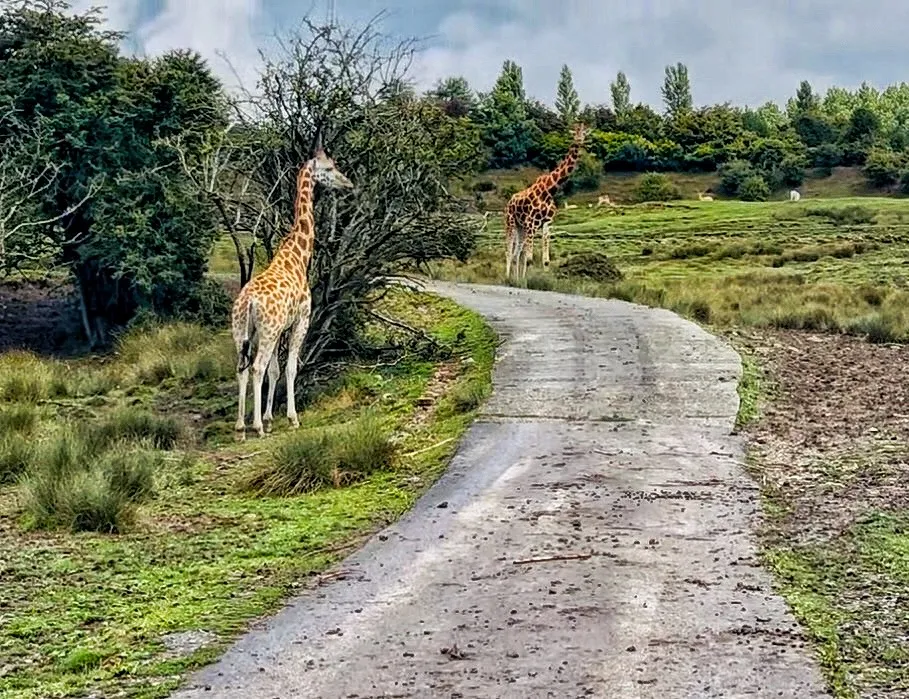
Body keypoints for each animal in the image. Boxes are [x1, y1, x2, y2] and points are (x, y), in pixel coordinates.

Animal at [231, 142, 354, 440]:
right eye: (329, 168)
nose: (348, 184)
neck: (298, 257)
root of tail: (248, 301)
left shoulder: (281, 329)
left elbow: (275, 370)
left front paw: (270, 419)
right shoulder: (300, 321)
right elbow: (289, 367)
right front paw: (290, 418)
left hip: (242, 331)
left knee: (242, 369)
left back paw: (241, 427)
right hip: (266, 331)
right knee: (256, 367)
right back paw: (256, 427)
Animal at [503, 122, 589, 280]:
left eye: (584, 133)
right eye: (574, 133)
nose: (579, 141)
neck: (550, 190)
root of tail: (509, 202)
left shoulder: (547, 223)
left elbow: (545, 260)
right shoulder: (531, 223)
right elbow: (529, 259)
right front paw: (527, 281)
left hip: (520, 227)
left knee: (516, 254)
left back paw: (515, 279)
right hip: (510, 222)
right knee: (509, 250)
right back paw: (507, 278)